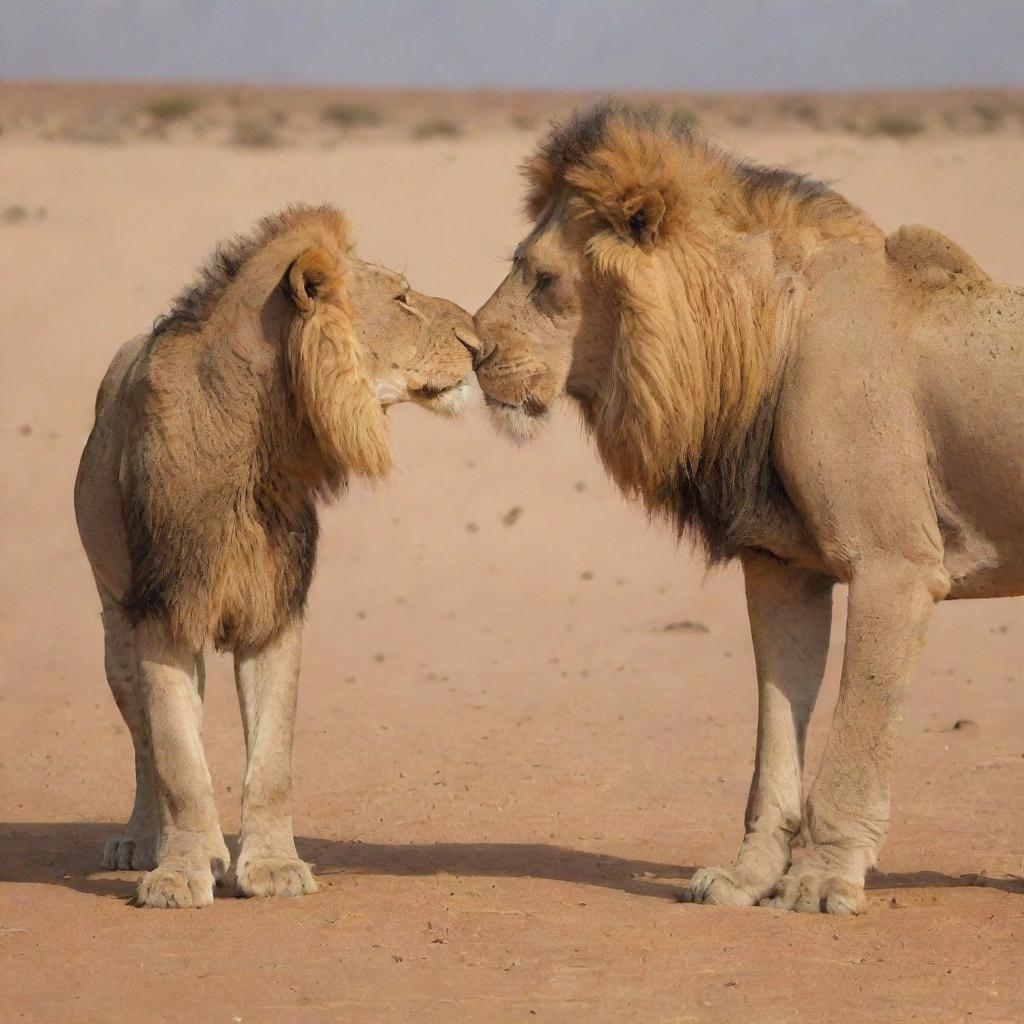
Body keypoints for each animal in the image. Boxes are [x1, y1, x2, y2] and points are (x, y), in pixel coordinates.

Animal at [74, 203, 477, 909]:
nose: (481, 342)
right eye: (401, 298)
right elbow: (176, 757)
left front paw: (270, 867)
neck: (258, 441)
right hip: (116, 626)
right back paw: (145, 841)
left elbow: (271, 760)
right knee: (145, 741)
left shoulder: (274, 610)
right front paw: (179, 874)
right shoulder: (163, 611)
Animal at [473, 103, 1024, 917]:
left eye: (543, 279)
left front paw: (821, 882)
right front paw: (747, 878)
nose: (471, 350)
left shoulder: (895, 564)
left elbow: (856, 739)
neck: (760, 341)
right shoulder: (782, 567)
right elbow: (775, 739)